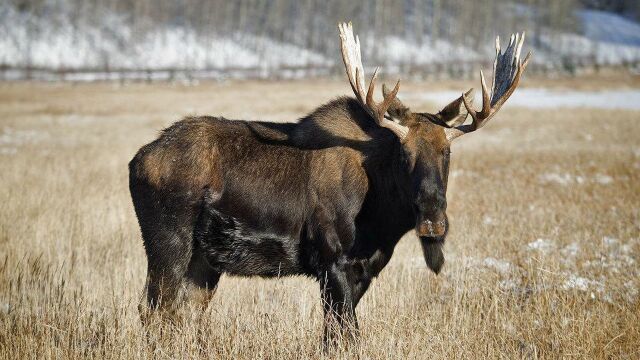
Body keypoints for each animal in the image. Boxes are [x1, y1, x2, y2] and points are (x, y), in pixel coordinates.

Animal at [129, 22, 528, 344]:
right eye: (404, 153)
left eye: (447, 151)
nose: (433, 220)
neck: (382, 222)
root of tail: (138, 160)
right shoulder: (332, 260)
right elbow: (345, 336)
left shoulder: (364, 269)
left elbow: (332, 337)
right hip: (168, 240)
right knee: (153, 310)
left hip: (206, 260)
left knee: (184, 313)